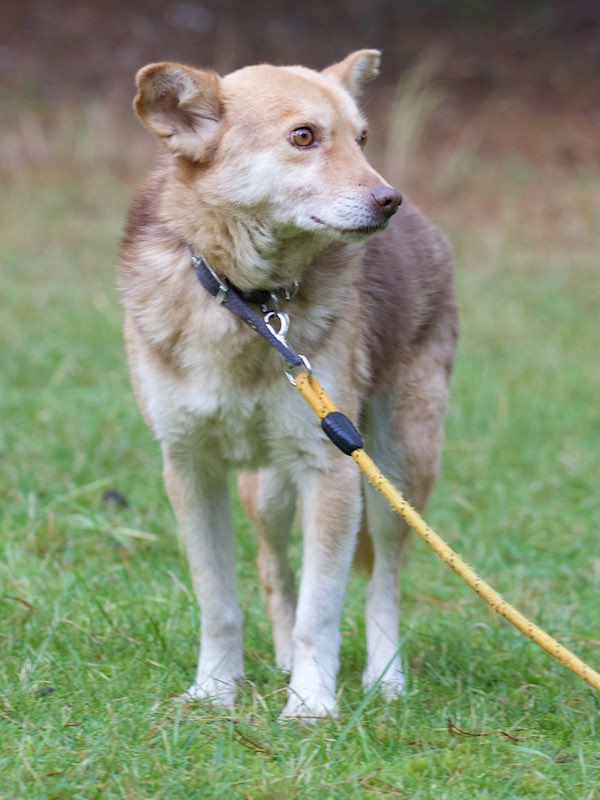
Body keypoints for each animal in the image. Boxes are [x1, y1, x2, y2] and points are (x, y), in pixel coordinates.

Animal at [119, 50, 458, 718]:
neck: (249, 305)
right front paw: (215, 690)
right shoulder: (190, 468)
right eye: (303, 137)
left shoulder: (331, 472)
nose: (389, 199)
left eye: (362, 138)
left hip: (396, 469)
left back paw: (385, 678)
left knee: (384, 582)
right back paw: (276, 660)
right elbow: (220, 603)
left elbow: (319, 614)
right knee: (274, 567)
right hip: (270, 490)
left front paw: (310, 704)